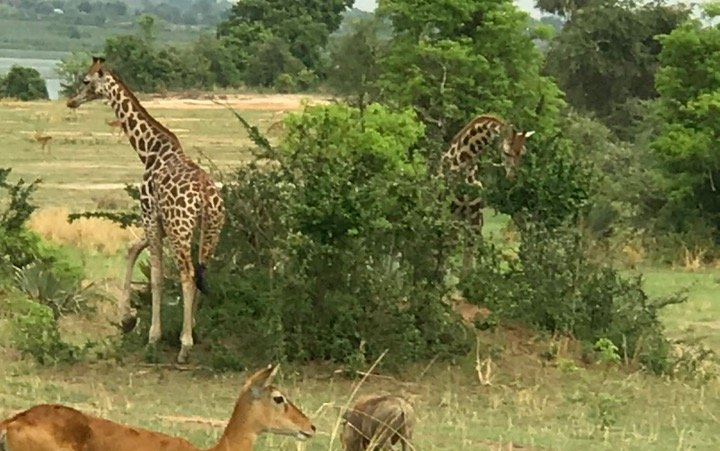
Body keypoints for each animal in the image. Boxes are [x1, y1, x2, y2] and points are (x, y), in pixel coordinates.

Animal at [67, 57, 226, 368]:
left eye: (86, 81)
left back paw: (184, 347)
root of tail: (205, 195)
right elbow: (131, 249)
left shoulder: (150, 216)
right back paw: (193, 332)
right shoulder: (158, 223)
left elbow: (155, 275)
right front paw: (127, 319)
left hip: (181, 229)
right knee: (201, 273)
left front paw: (152, 335)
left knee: (187, 275)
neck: (149, 150)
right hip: (210, 230)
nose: (71, 101)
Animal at [438, 115, 536, 274]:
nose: (513, 177)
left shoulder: (474, 213)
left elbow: (468, 257)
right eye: (507, 152)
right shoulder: (452, 211)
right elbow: (448, 247)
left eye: (523, 153)